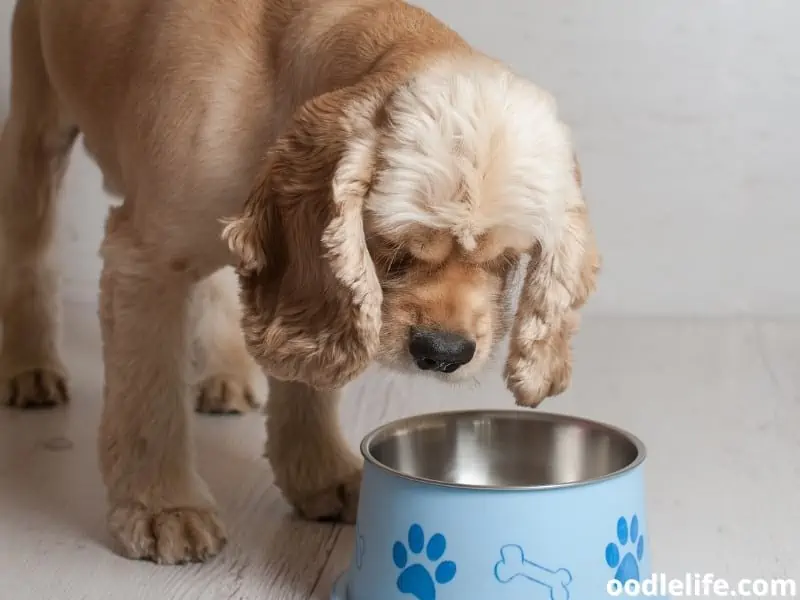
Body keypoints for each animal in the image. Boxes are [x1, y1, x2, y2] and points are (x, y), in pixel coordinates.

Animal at [0, 0, 600, 564]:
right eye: (393, 247)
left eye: (510, 259)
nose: (443, 352)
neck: (272, 82)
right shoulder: (146, 259)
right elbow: (149, 403)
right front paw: (163, 509)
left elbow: (305, 376)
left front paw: (321, 475)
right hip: (35, 124)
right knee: (30, 251)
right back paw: (31, 367)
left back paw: (226, 375)